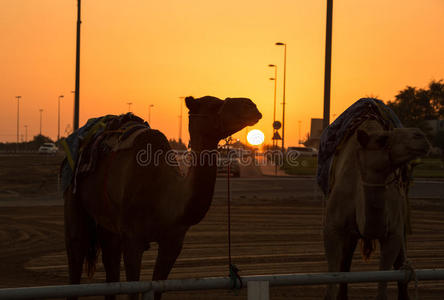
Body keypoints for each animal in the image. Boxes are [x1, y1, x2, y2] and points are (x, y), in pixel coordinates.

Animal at [64, 95, 262, 298]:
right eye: (214, 104)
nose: (251, 105)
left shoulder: (172, 243)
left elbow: (158, 287)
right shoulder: (132, 239)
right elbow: (133, 290)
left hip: (108, 223)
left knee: (110, 268)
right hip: (73, 194)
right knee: (76, 250)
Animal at [322, 119, 430, 300]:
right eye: (382, 139)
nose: (420, 135)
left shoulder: (393, 232)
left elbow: (384, 282)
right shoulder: (332, 229)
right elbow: (333, 278)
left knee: (401, 264)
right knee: (345, 263)